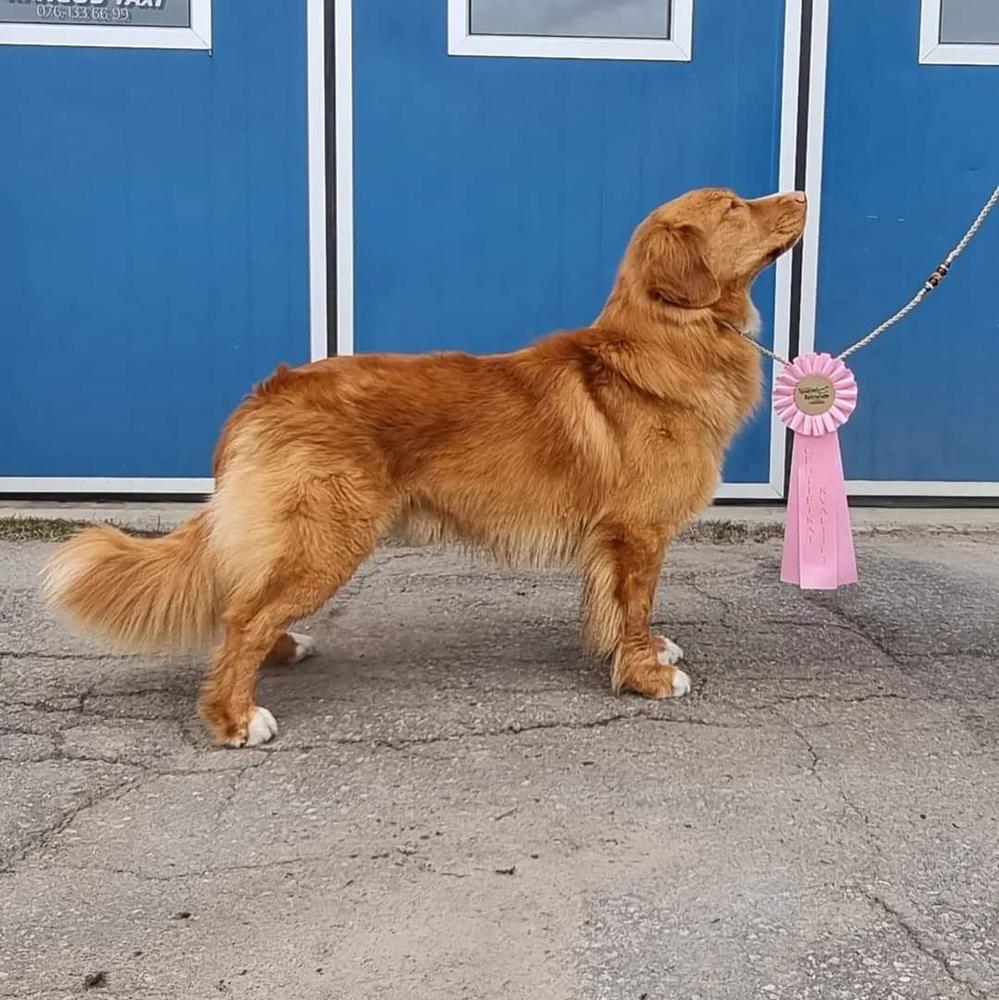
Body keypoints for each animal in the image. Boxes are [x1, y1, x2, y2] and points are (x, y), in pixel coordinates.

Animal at [45, 189, 804, 744]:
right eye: (733, 206)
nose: (799, 192)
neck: (671, 339)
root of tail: (264, 394)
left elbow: (625, 613)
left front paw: (647, 651)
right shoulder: (635, 533)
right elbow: (633, 605)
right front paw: (646, 675)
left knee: (246, 602)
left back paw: (280, 651)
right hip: (328, 538)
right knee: (243, 616)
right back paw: (235, 717)